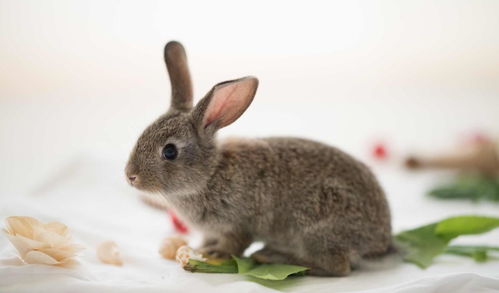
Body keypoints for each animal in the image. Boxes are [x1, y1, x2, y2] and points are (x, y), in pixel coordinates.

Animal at [126, 41, 394, 276]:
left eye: (170, 151)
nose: (130, 176)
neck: (210, 175)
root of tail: (380, 243)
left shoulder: (239, 224)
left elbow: (234, 244)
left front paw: (213, 255)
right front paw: (201, 249)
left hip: (316, 227)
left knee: (338, 267)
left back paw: (274, 257)